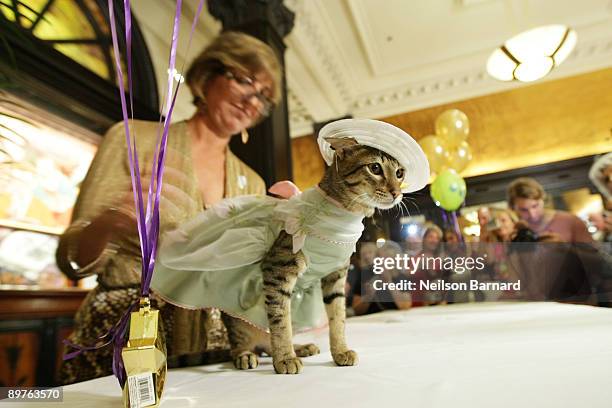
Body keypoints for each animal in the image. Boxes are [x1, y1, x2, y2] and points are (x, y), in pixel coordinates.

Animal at [221, 139, 406, 374]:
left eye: (399, 173)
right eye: (375, 168)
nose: (397, 192)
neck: (344, 216)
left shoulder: (336, 276)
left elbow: (338, 317)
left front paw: (340, 351)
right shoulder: (277, 269)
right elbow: (280, 320)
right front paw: (285, 358)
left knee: (267, 342)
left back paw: (301, 348)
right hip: (238, 320)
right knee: (239, 343)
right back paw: (247, 355)